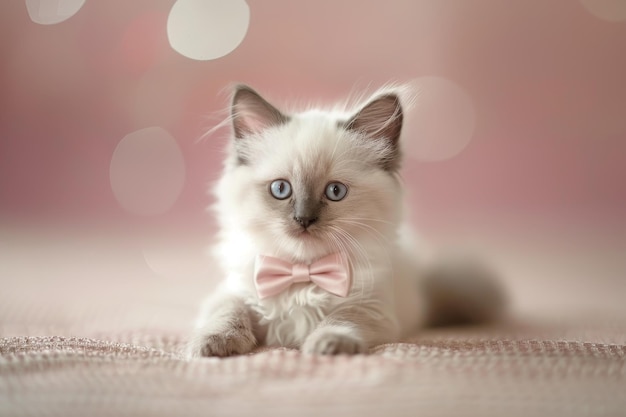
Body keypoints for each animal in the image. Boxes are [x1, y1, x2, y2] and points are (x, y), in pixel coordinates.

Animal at [188, 85, 504, 358]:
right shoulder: (233, 292)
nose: (303, 219)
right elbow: (227, 313)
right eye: (280, 189)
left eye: (335, 192)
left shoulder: (370, 307)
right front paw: (211, 344)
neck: (303, 274)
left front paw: (328, 344)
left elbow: (341, 319)